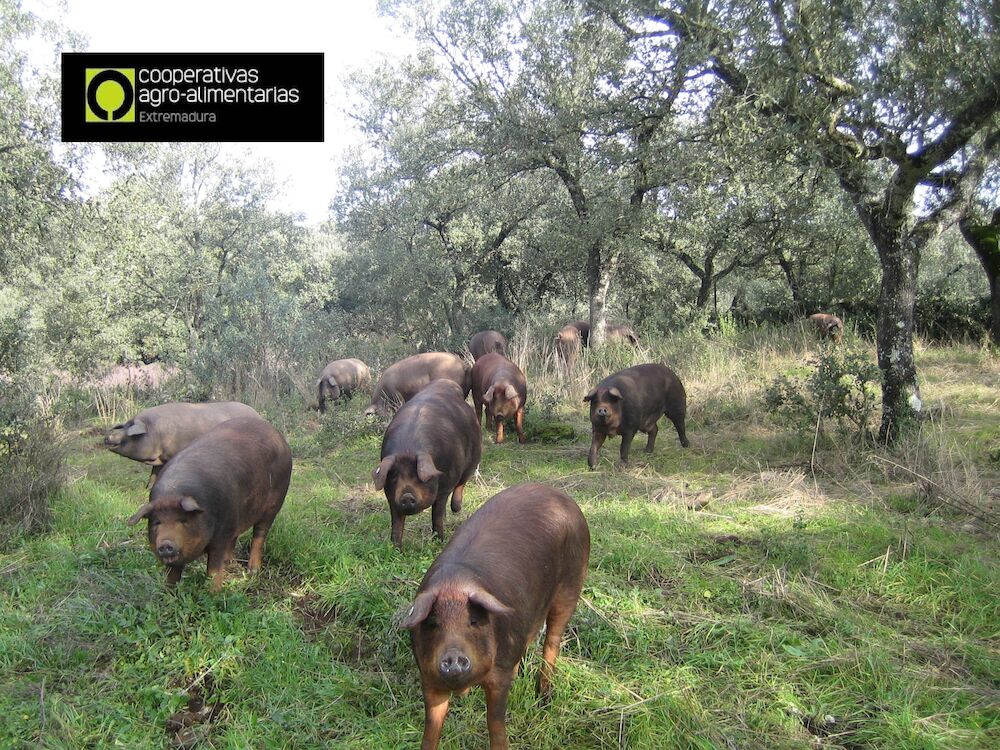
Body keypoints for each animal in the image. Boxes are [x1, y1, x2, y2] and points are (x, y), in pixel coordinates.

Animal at [104, 406, 260, 488]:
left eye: (130, 429)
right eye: (125, 425)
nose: (107, 437)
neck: (156, 432)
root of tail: (259, 416)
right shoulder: (161, 458)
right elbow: (153, 474)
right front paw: (148, 489)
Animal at [123, 418, 292, 592]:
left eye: (183, 520)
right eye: (157, 522)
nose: (166, 544)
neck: (173, 493)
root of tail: (278, 436)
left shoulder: (221, 535)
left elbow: (213, 569)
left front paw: (213, 593)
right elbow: (173, 573)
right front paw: (168, 592)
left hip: (274, 504)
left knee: (259, 534)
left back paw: (253, 571)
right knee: (235, 537)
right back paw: (230, 563)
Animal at [376, 382, 484, 548]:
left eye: (418, 476)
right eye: (393, 476)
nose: (407, 496)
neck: (407, 449)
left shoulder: (445, 486)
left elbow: (436, 514)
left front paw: (439, 540)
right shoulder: (391, 495)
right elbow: (397, 523)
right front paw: (395, 547)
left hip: (474, 458)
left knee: (461, 483)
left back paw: (456, 509)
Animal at [398, 484, 584, 748]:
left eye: (474, 622)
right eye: (433, 623)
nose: (453, 655)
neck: (455, 585)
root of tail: (563, 497)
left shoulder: (500, 675)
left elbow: (495, 722)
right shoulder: (429, 678)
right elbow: (431, 728)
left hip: (571, 586)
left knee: (552, 641)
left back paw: (544, 698)